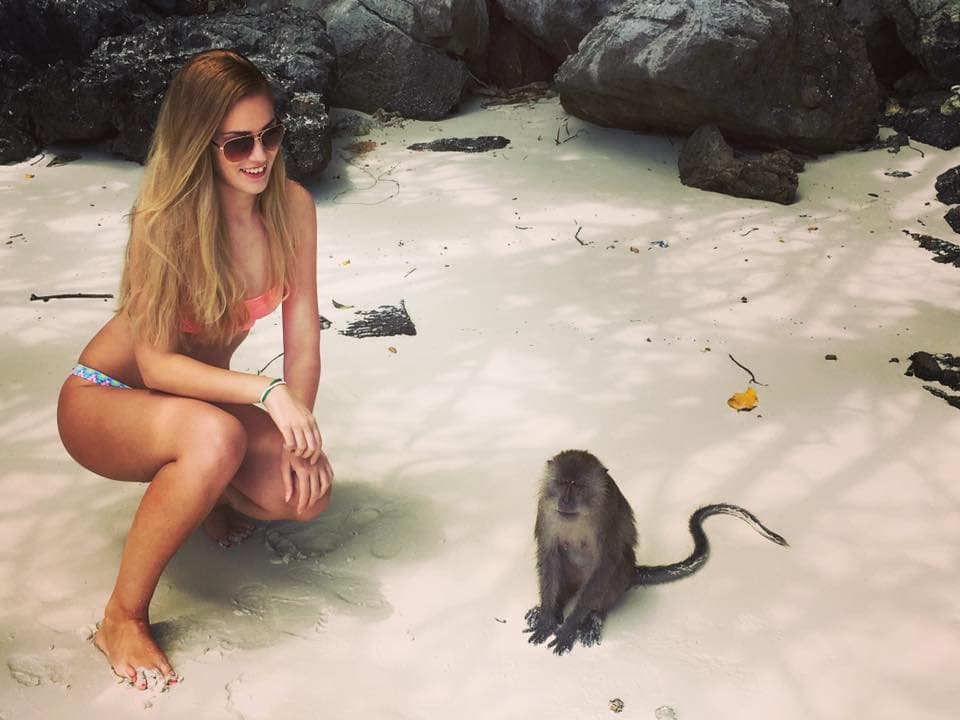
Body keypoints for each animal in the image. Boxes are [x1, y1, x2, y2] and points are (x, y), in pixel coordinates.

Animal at [524, 450, 788, 655]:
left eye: (577, 486)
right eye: (561, 483)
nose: (566, 501)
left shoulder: (607, 512)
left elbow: (606, 561)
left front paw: (571, 625)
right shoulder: (545, 508)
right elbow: (549, 555)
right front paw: (548, 615)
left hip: (621, 575)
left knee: (618, 564)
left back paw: (595, 616)